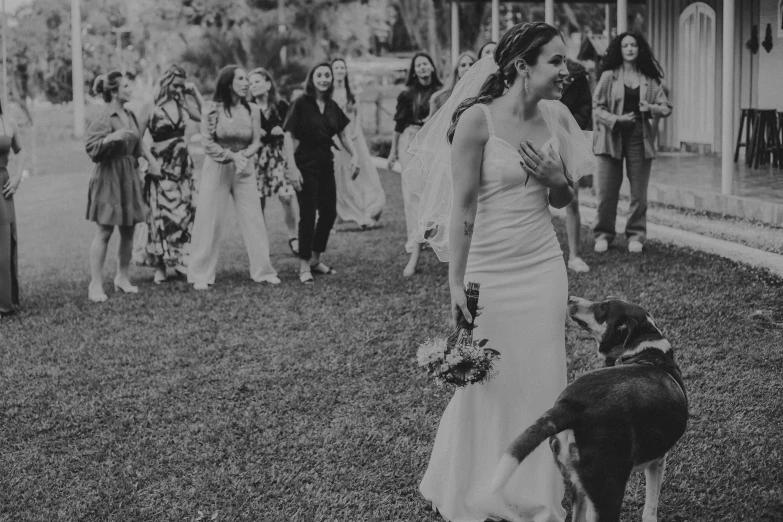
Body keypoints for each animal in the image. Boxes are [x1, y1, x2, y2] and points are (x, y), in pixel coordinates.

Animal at [494, 296, 688, 520]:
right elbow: (650, 509)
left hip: (576, 485)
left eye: (602, 307)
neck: (646, 348)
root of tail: (570, 407)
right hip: (608, 490)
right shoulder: (658, 461)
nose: (570, 298)